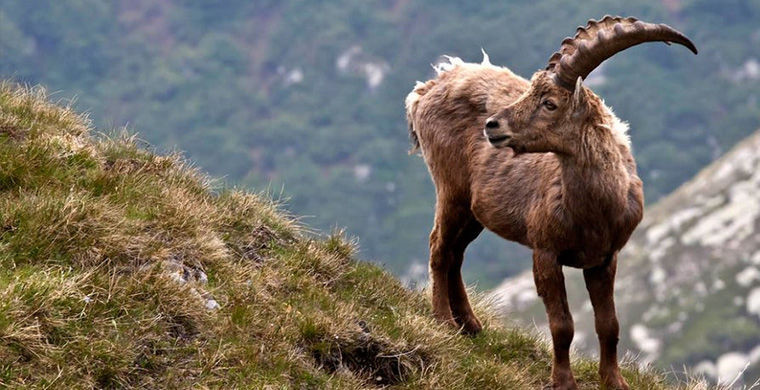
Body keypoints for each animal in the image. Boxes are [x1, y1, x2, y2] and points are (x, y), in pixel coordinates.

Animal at [406, 16, 696, 390]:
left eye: (549, 103)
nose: (492, 125)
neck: (594, 208)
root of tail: (427, 88)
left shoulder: (604, 259)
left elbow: (609, 325)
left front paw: (614, 381)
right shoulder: (545, 252)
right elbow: (562, 326)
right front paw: (563, 381)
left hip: (474, 212)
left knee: (456, 253)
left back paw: (469, 325)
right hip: (451, 191)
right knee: (439, 249)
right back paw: (443, 321)